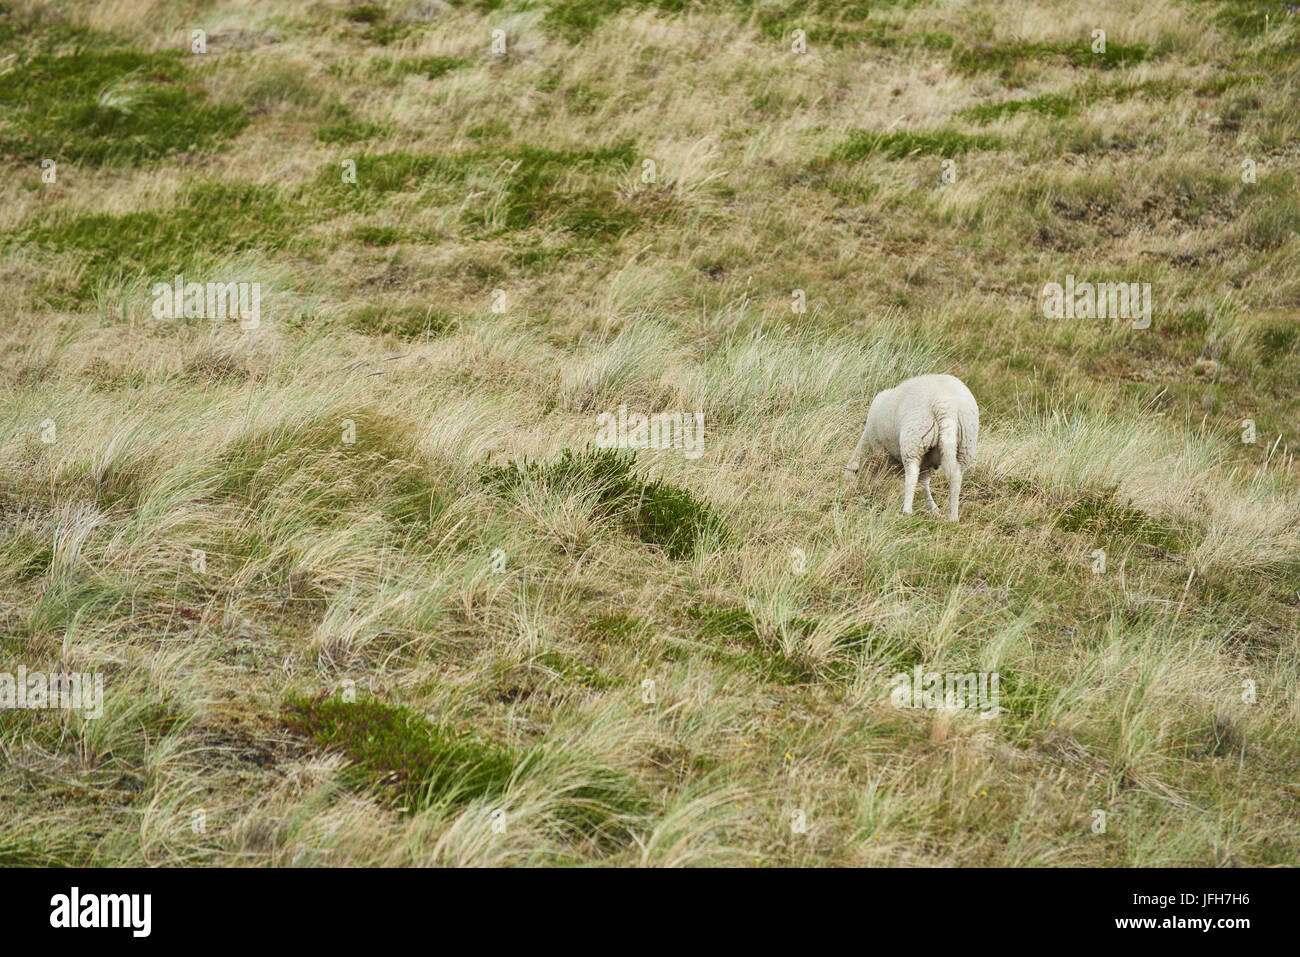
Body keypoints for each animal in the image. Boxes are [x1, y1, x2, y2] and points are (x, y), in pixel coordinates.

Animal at [842, 374, 977, 522]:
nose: (845, 497)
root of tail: (945, 404)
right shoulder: (928, 462)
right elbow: (924, 483)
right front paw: (933, 508)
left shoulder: (881, 451)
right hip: (965, 444)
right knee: (956, 479)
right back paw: (953, 517)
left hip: (914, 438)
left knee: (912, 474)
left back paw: (906, 511)